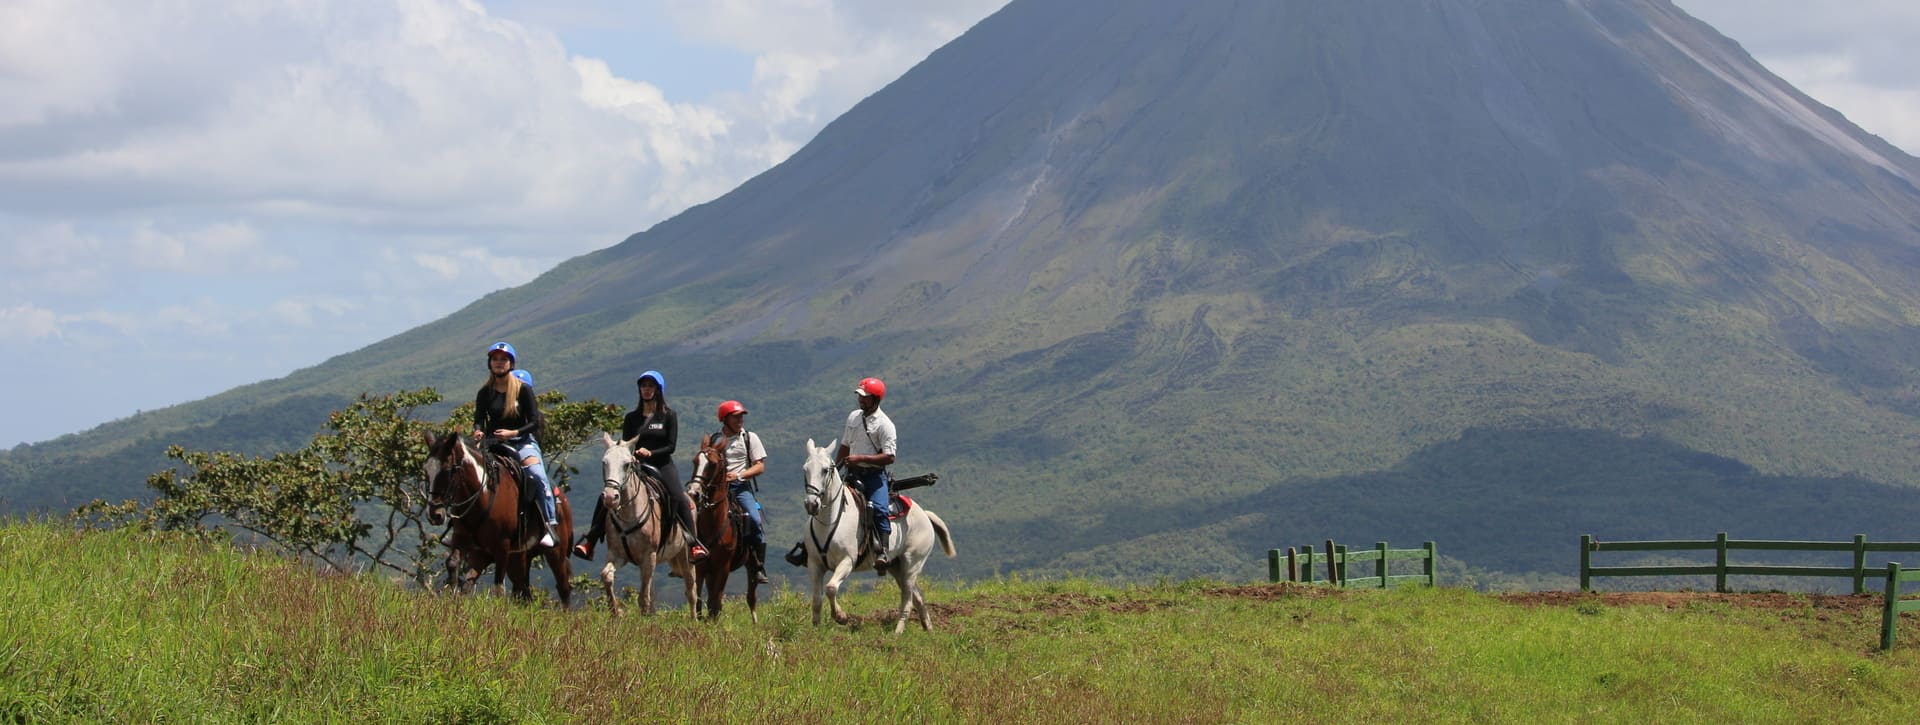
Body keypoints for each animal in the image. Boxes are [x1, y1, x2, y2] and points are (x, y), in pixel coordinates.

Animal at [420, 429, 568, 606]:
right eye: (426, 472)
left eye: (448, 471)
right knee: (521, 589)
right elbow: (452, 563)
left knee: (563, 588)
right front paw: (451, 596)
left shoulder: (502, 545)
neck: (482, 496)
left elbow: (498, 585)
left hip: (556, 553)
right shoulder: (461, 538)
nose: (434, 515)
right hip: (511, 556)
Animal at [599, 429, 698, 617]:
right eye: (604, 463)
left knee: (691, 591)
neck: (629, 514)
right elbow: (606, 575)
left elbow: (643, 598)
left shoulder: (648, 557)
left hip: (685, 555)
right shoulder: (617, 554)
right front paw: (616, 612)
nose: (610, 497)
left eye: (626, 465)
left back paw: (694, 619)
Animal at [683, 433, 756, 621]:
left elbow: (715, 602)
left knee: (751, 596)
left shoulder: (723, 568)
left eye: (713, 464)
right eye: (695, 461)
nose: (694, 493)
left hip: (750, 564)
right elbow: (700, 600)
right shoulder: (701, 567)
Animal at [794, 439, 952, 632]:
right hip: (896, 567)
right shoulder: (814, 564)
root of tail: (925, 516)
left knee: (907, 599)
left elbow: (831, 588)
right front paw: (816, 628)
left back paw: (898, 632)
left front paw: (841, 617)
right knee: (918, 597)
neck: (829, 520)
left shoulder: (847, 561)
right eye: (805, 469)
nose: (811, 504)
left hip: (912, 564)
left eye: (825, 470)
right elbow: (817, 599)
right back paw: (928, 628)